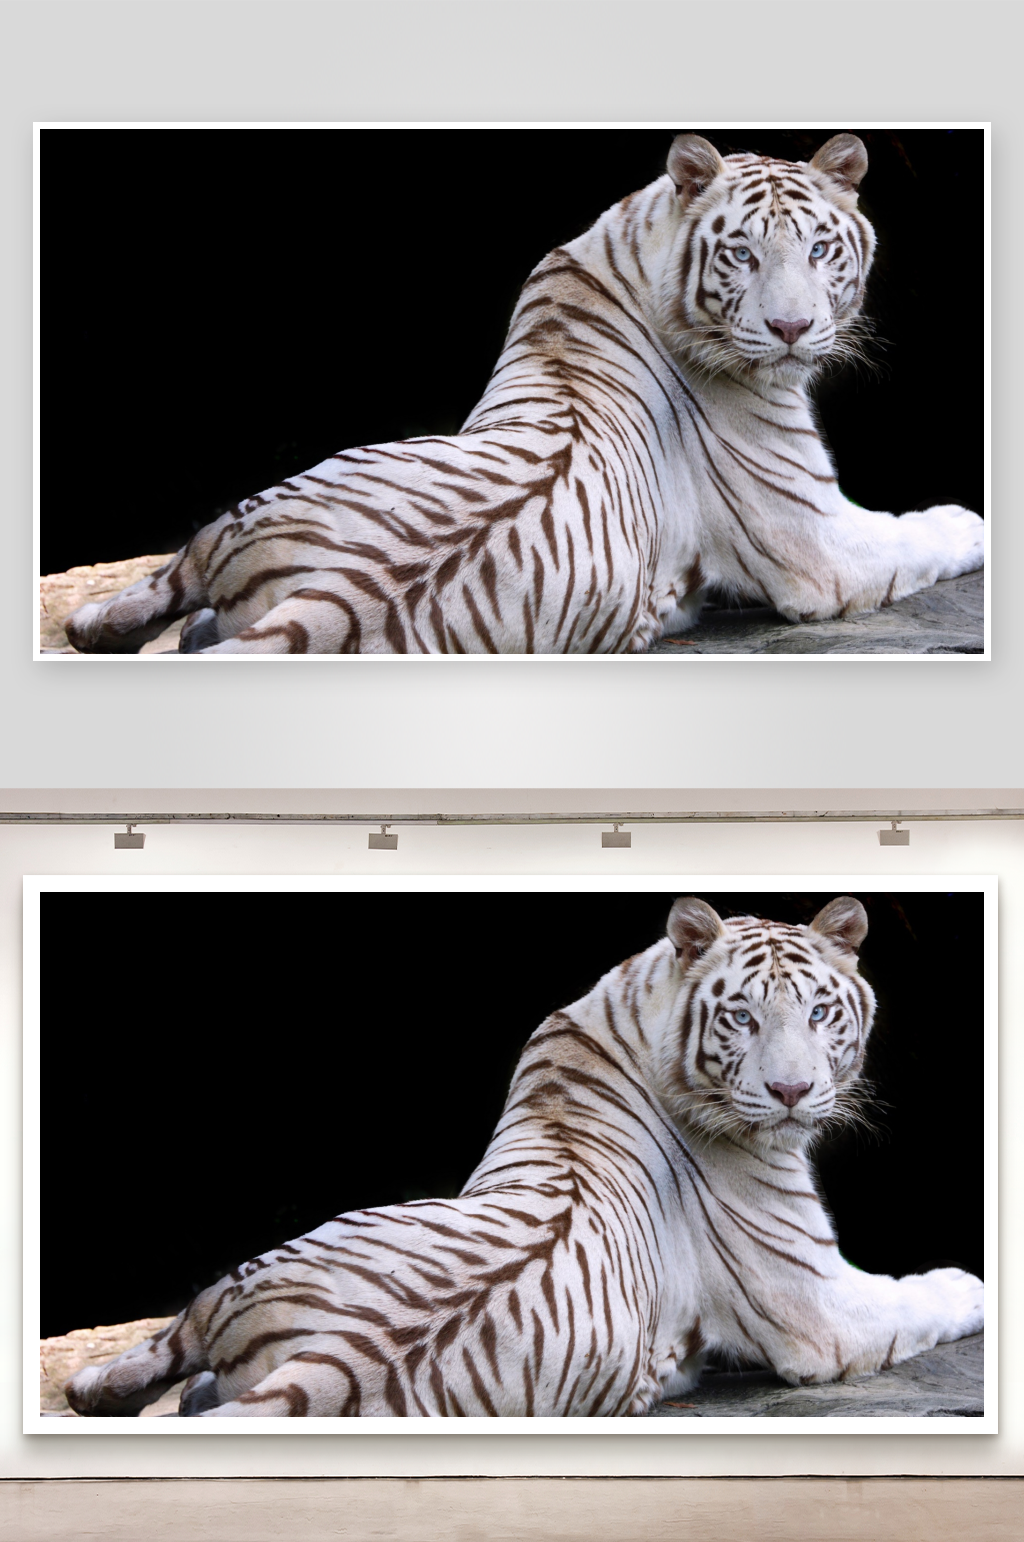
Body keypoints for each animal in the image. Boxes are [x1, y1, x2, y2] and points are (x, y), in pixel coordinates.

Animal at [61, 130, 984, 656]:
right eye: (743, 255)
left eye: (821, 250)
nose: (792, 330)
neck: (631, 244)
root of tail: (342, 596)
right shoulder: (819, 545)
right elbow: (922, 533)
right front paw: (971, 520)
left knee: (154, 592)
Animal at [64, 896, 983, 1418]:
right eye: (743, 1018)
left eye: (821, 1013)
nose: (792, 1093)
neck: (632, 1008)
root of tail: (342, 1360)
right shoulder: (819, 1308)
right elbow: (920, 1297)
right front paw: (971, 1284)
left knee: (165, 1348)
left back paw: (98, 1388)